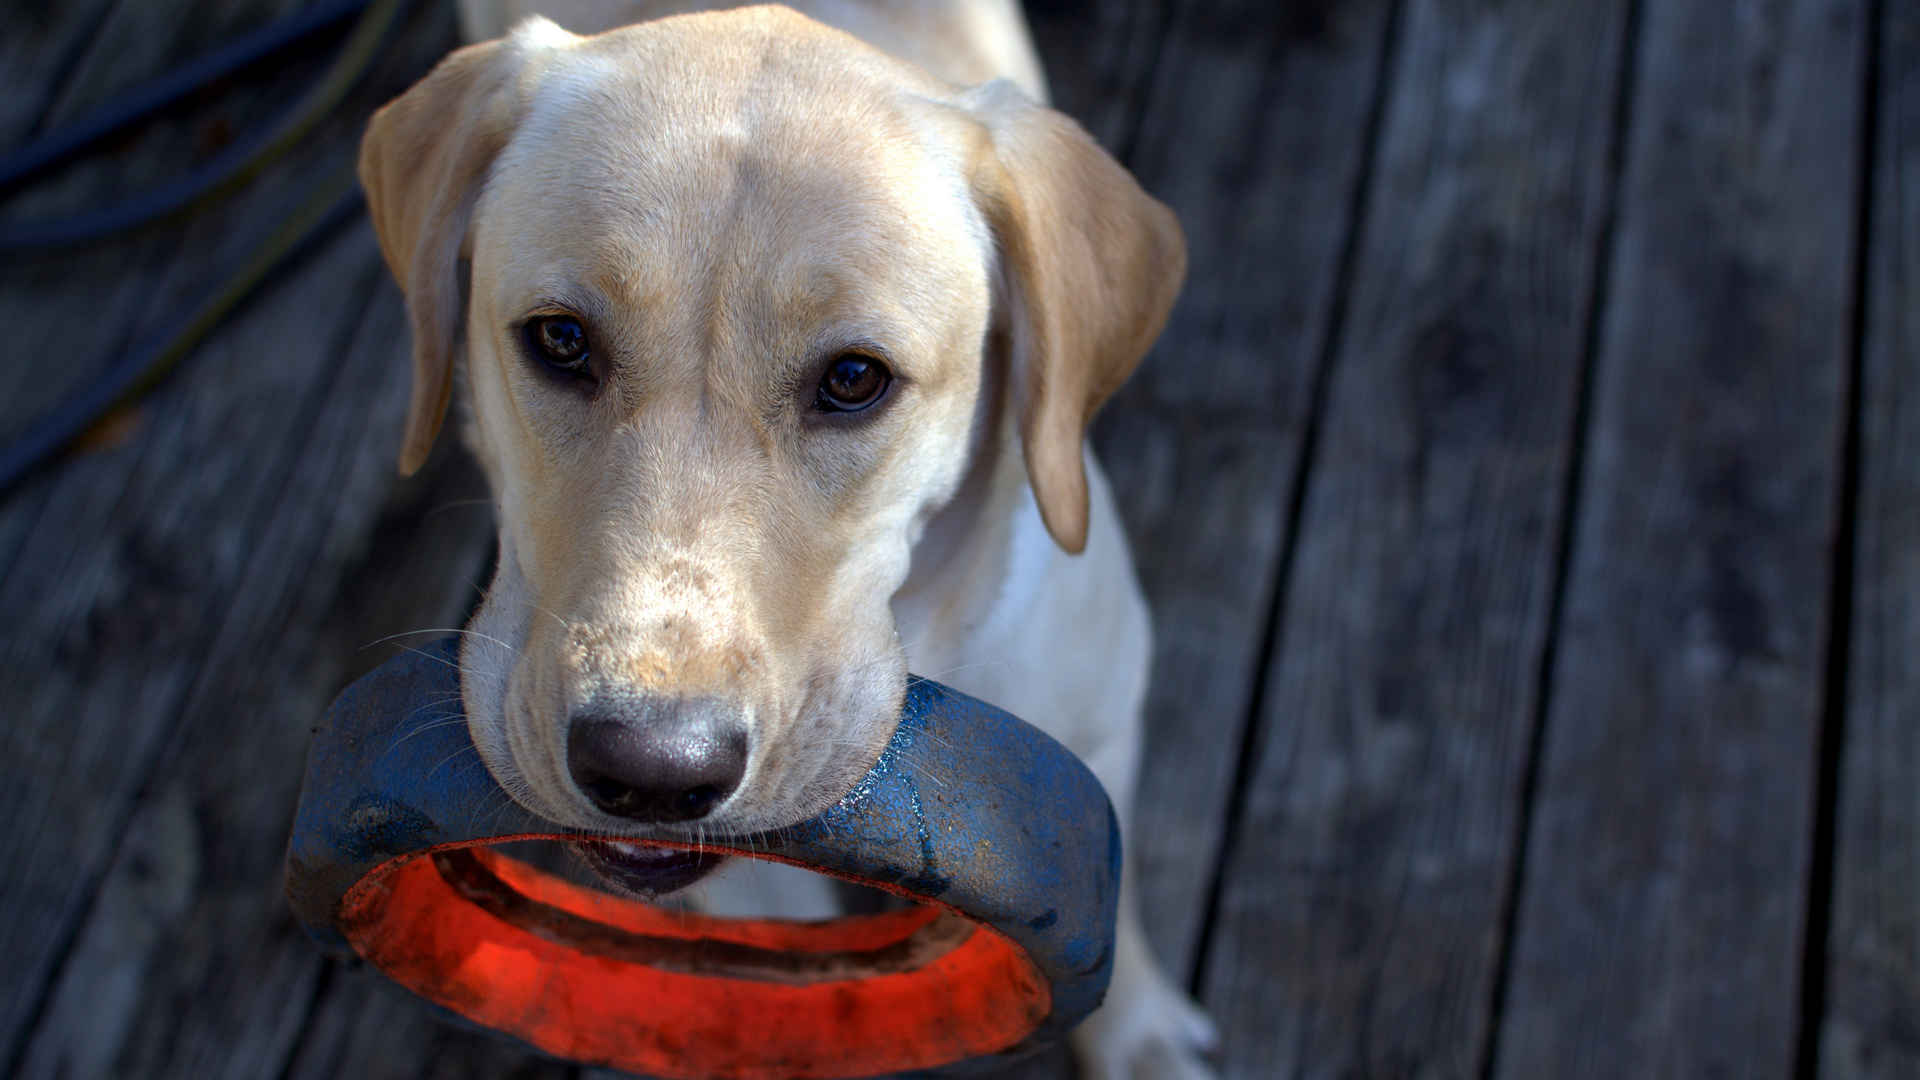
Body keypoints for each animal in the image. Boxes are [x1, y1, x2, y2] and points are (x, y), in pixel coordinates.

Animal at [364, 4, 1205, 1068]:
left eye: (854, 379)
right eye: (560, 340)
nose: (650, 769)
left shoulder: (1103, 730)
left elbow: (1119, 906)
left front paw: (1140, 1039)